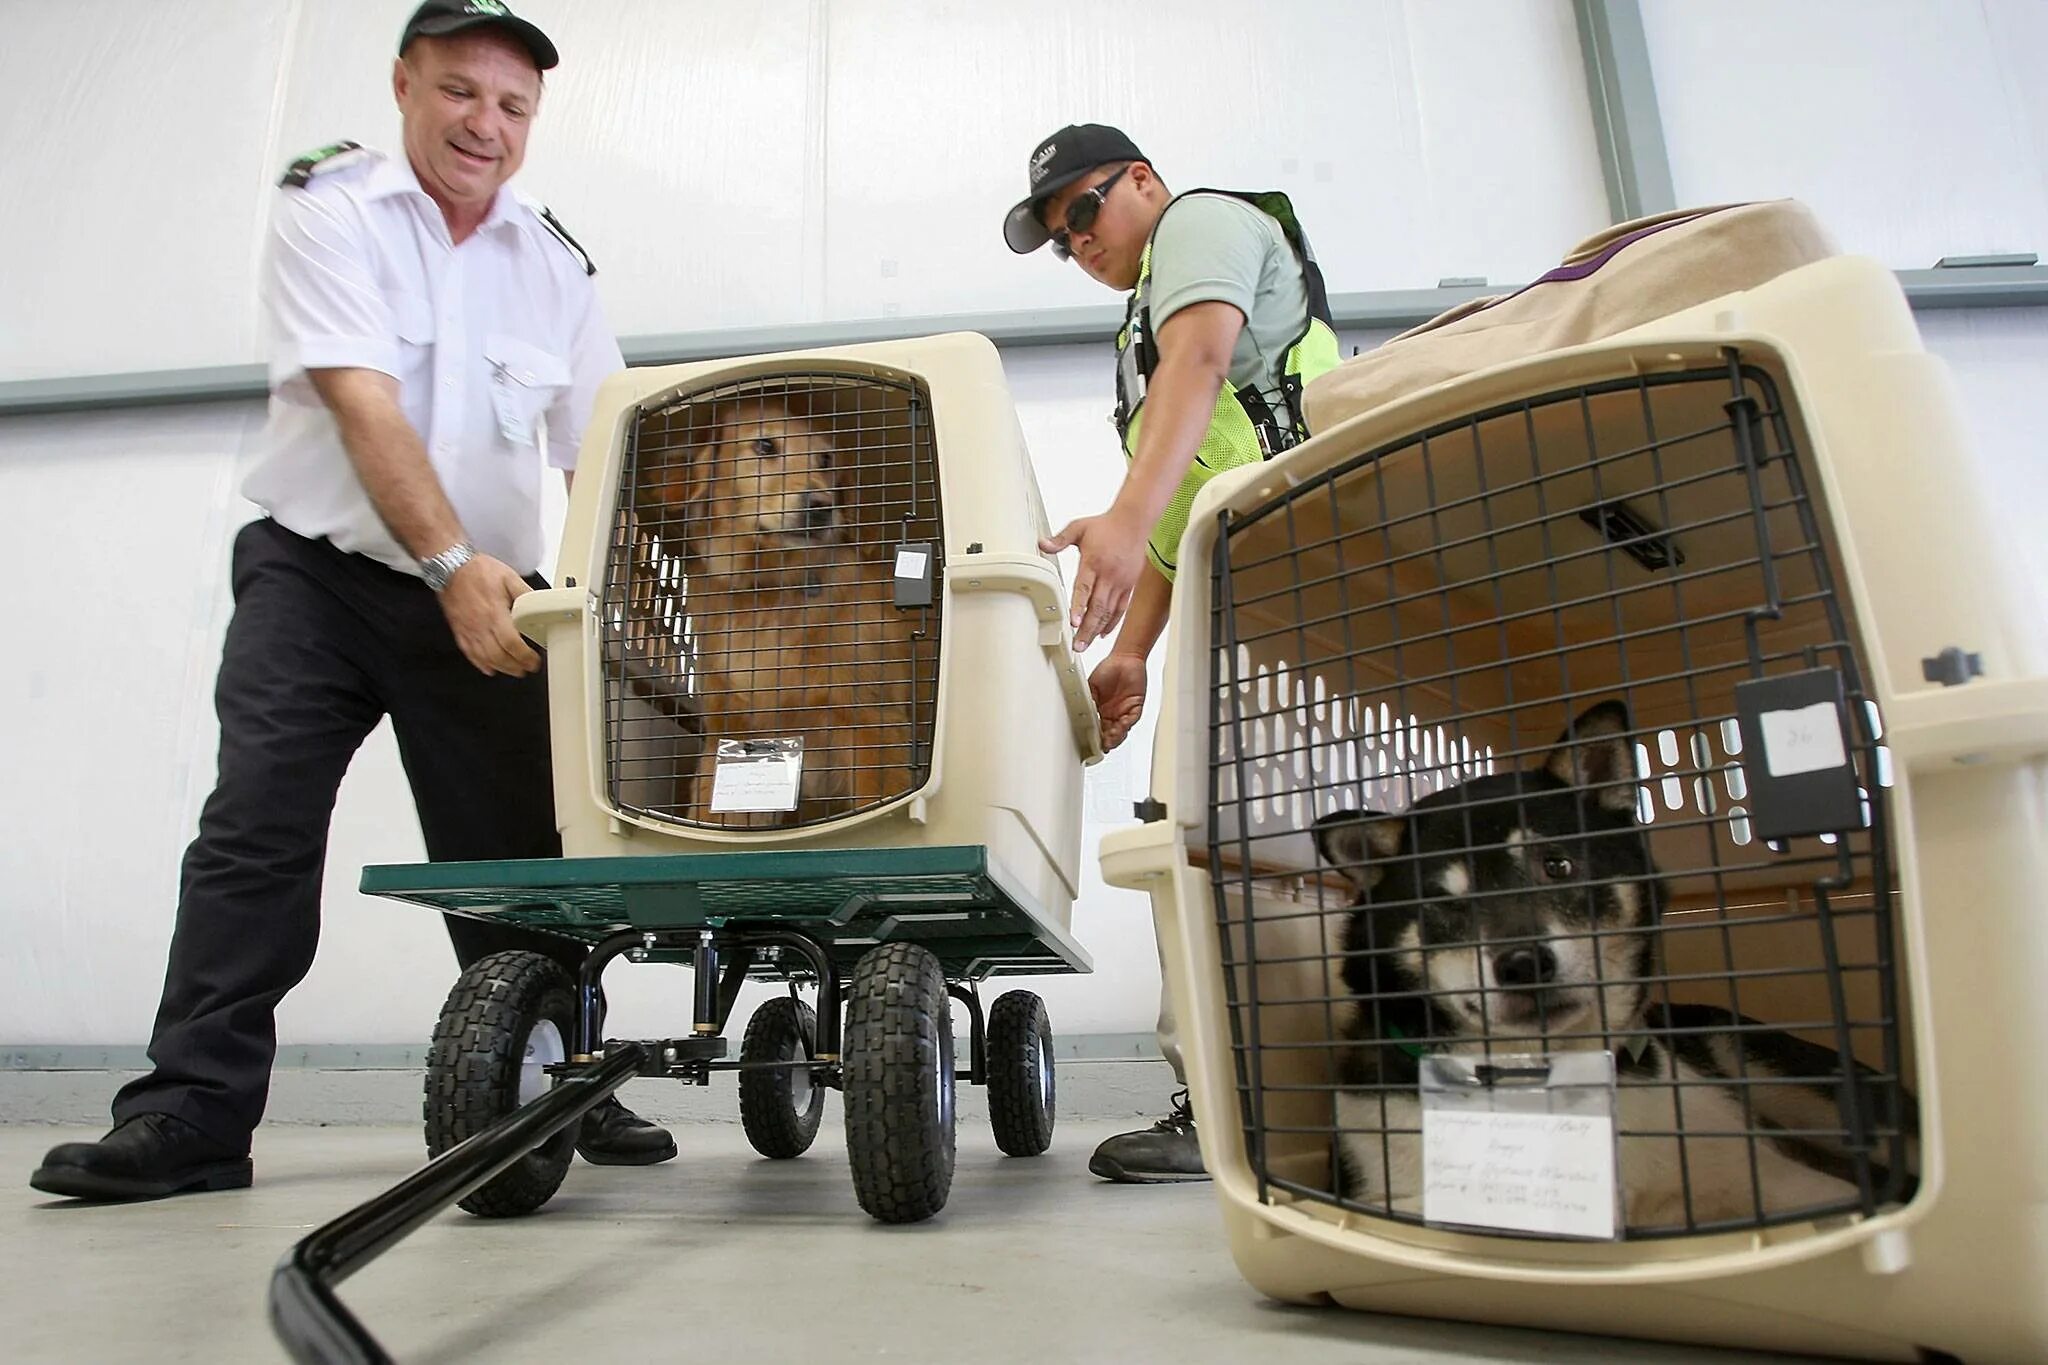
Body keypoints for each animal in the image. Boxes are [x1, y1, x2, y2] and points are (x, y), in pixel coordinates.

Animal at [643, 392, 925, 822]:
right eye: (764, 445)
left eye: (825, 459)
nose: (820, 507)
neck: (768, 589)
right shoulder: (730, 735)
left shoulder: (873, 725)